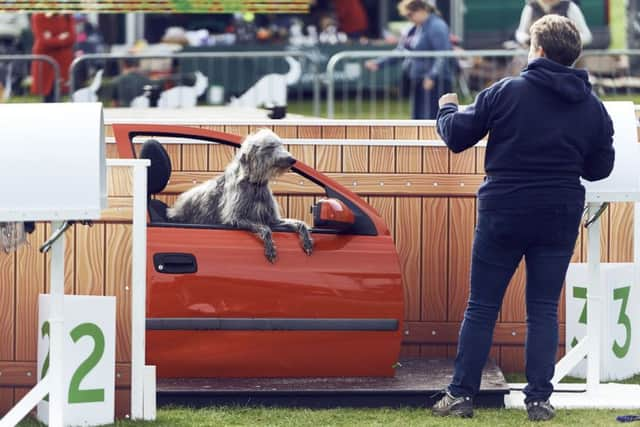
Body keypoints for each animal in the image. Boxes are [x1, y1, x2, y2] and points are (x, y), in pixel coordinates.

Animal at [168, 129, 312, 262]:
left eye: (281, 145)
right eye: (270, 146)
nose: (292, 160)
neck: (255, 185)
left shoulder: (273, 220)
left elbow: (299, 223)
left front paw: (307, 241)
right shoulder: (235, 218)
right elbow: (264, 228)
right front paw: (270, 248)